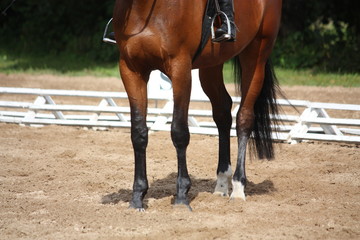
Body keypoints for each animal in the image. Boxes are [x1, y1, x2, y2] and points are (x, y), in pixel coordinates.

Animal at [114, 0, 282, 210]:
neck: (143, 9)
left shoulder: (181, 69)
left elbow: (179, 132)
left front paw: (181, 197)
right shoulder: (131, 70)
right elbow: (138, 133)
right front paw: (137, 198)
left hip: (256, 54)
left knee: (244, 117)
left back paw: (237, 188)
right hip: (212, 64)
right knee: (222, 112)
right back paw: (221, 185)